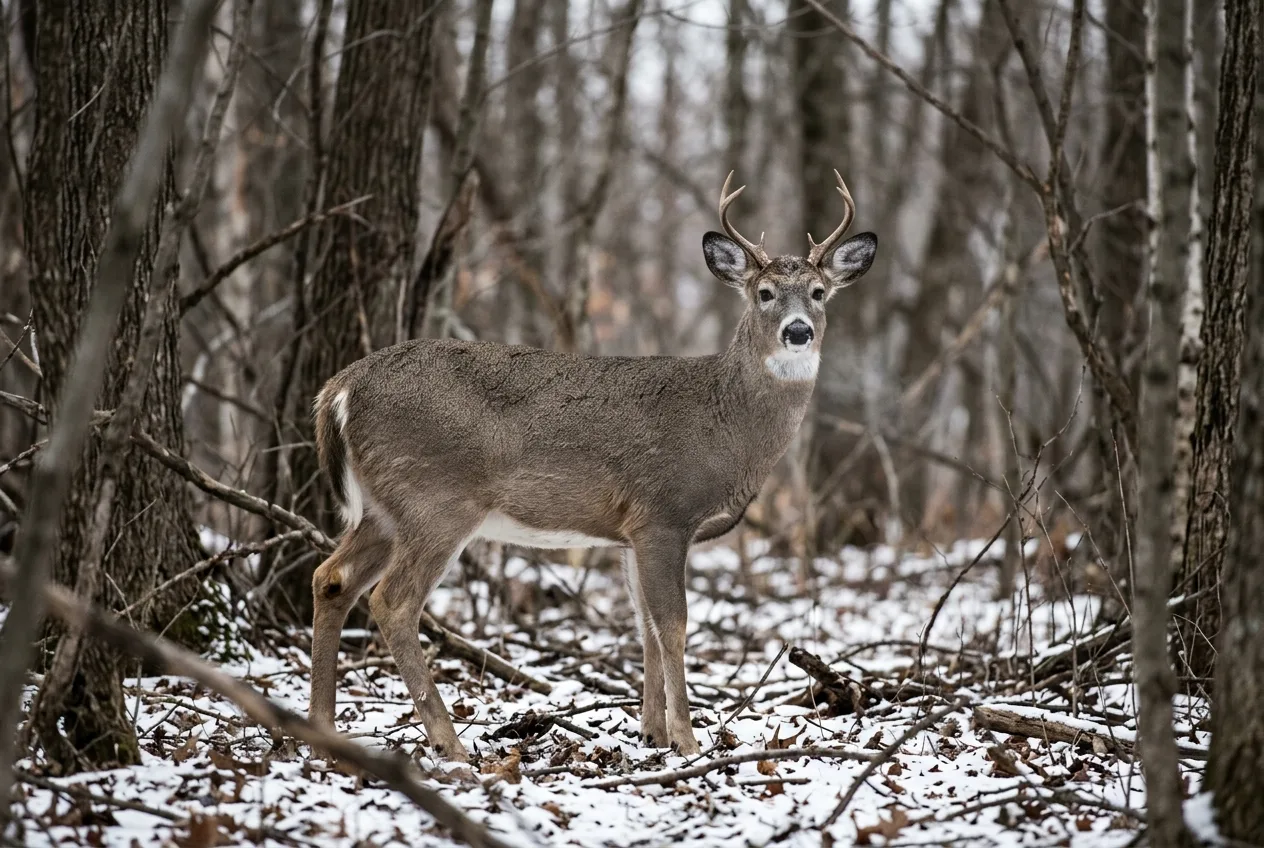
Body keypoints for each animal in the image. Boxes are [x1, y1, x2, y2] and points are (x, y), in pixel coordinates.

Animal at [307, 171, 877, 761]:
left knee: (331, 579)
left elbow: (645, 625)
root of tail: (339, 389)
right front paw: (686, 739)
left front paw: (651, 733)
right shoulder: (664, 513)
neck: (725, 422)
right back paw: (450, 744)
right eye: (764, 294)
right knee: (392, 601)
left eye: (819, 293)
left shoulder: (630, 532)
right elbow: (673, 624)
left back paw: (323, 728)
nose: (797, 331)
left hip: (384, 508)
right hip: (435, 500)